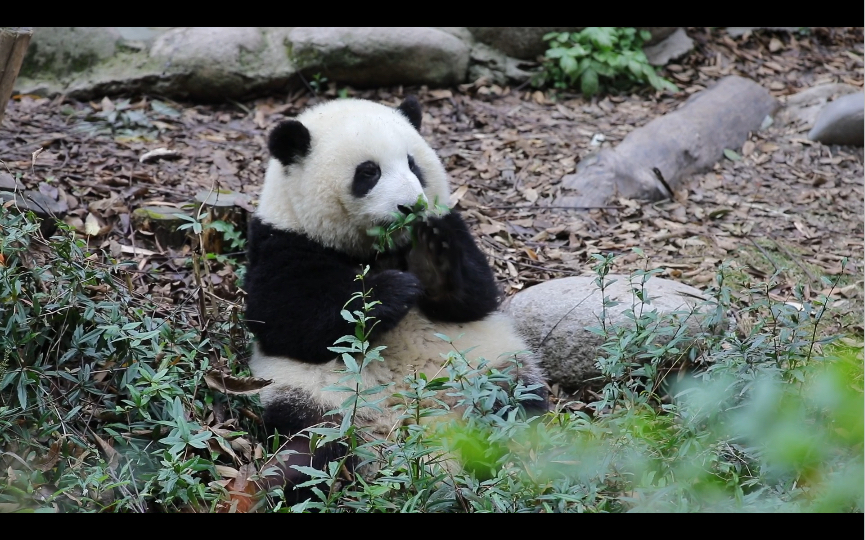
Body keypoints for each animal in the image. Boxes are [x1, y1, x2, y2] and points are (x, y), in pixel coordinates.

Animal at [243, 95, 548, 496]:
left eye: (413, 164)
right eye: (368, 172)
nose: (411, 207)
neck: (378, 248)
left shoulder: (453, 229)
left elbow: (476, 297)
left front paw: (431, 257)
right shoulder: (280, 242)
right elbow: (284, 315)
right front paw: (391, 292)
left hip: (489, 370)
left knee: (518, 404)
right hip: (318, 398)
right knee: (312, 447)